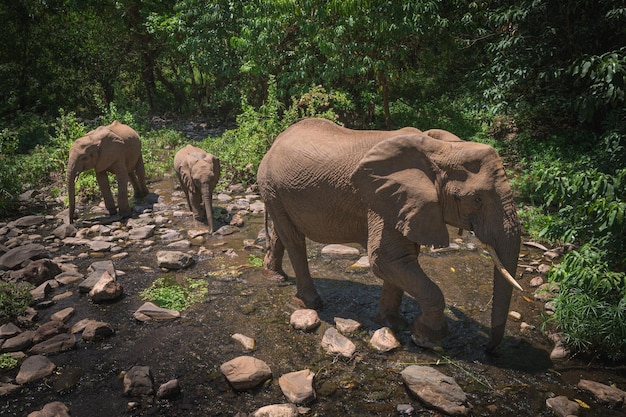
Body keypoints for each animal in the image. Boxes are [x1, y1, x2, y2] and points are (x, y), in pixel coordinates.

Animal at [256, 117, 520, 352]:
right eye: (477, 200)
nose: (487, 348)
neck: (441, 149)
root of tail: (276, 140)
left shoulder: (403, 204)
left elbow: (400, 260)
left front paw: (391, 324)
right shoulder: (382, 202)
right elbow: (386, 259)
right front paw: (428, 338)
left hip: (276, 191)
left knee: (281, 234)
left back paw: (275, 278)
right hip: (271, 184)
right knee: (294, 240)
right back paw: (312, 303)